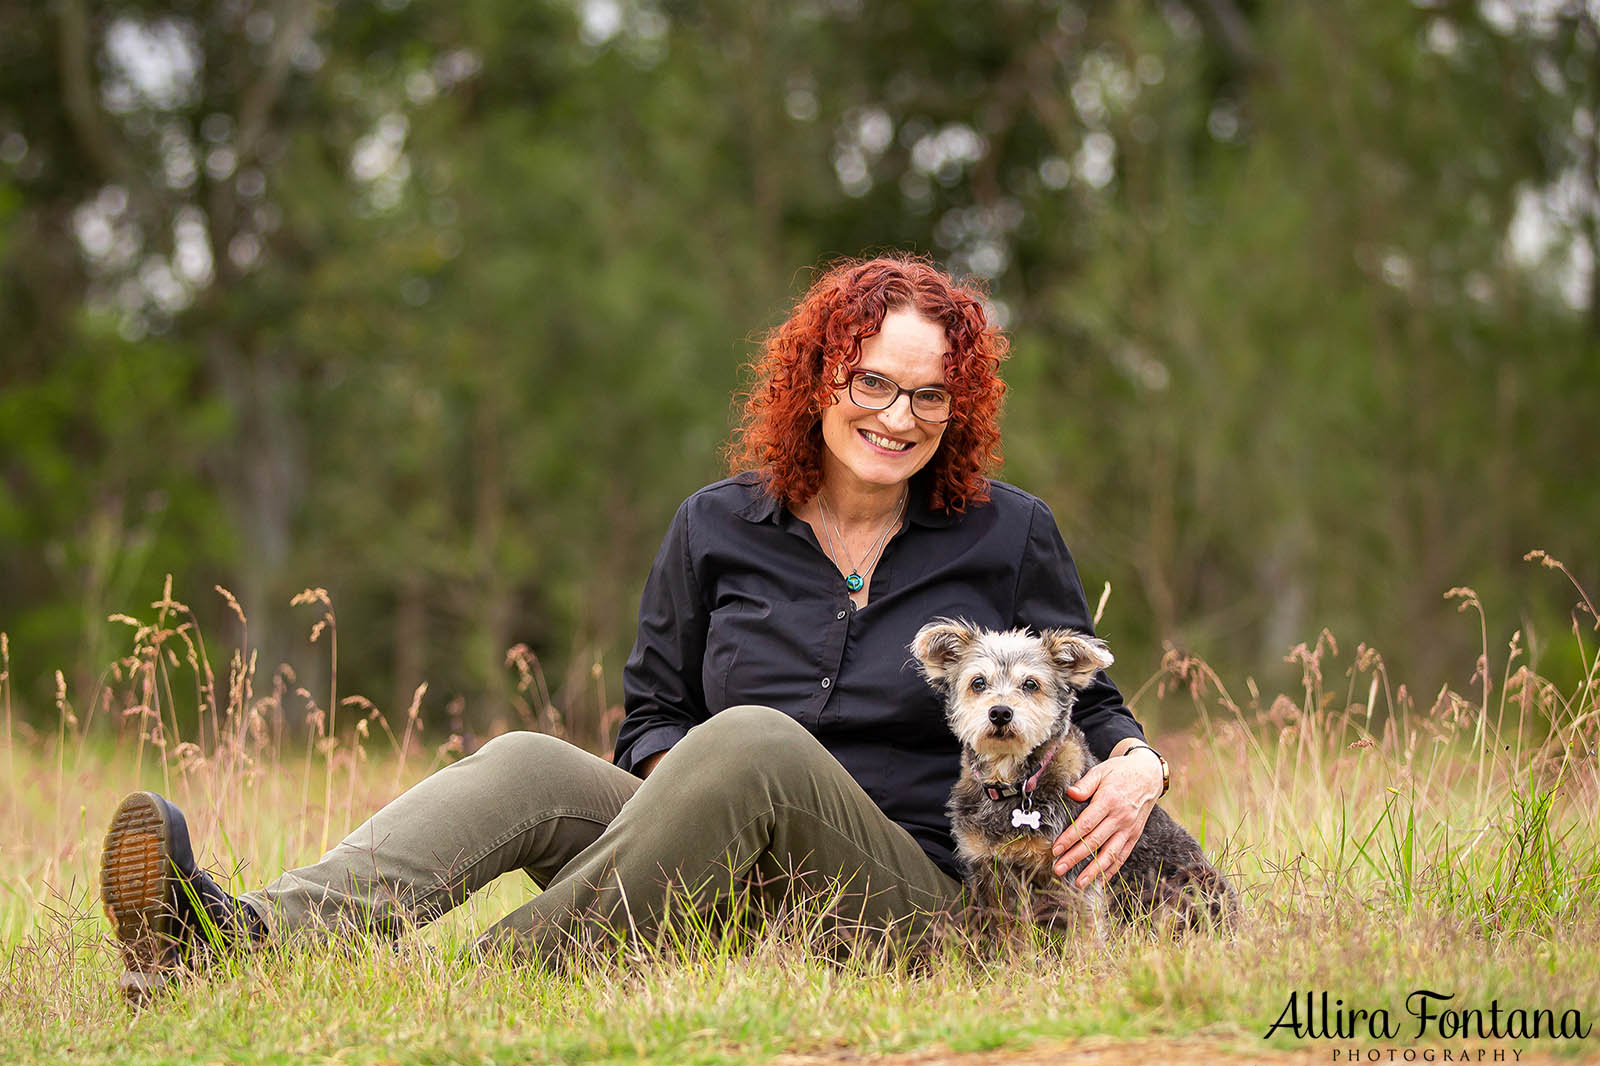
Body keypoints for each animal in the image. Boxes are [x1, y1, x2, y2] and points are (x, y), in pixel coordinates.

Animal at [915, 614, 1235, 928]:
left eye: (1030, 684)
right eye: (978, 682)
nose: (1001, 712)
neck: (1014, 783)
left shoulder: (1075, 869)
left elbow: (1084, 931)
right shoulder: (986, 868)